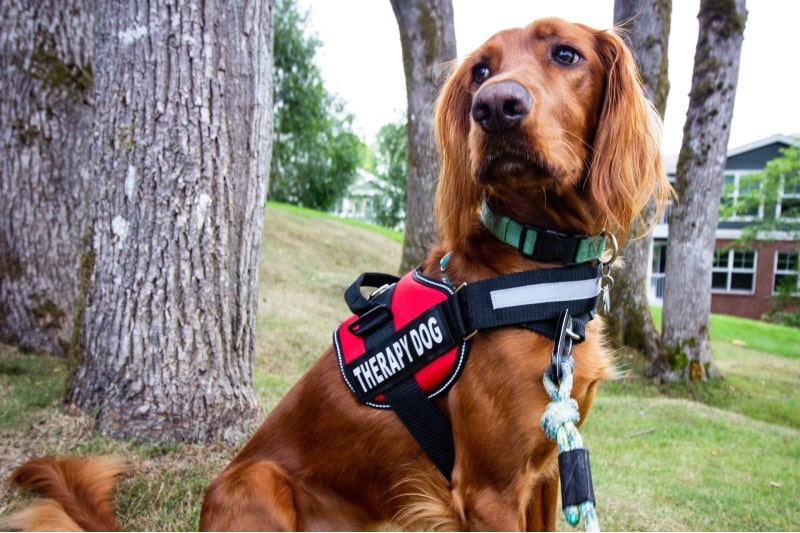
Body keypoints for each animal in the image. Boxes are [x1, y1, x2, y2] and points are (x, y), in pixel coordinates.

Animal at [4, 17, 668, 532]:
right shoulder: (489, 489)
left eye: (566, 54)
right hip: (256, 483)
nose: (494, 107)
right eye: (480, 71)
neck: (535, 266)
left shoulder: (550, 469)